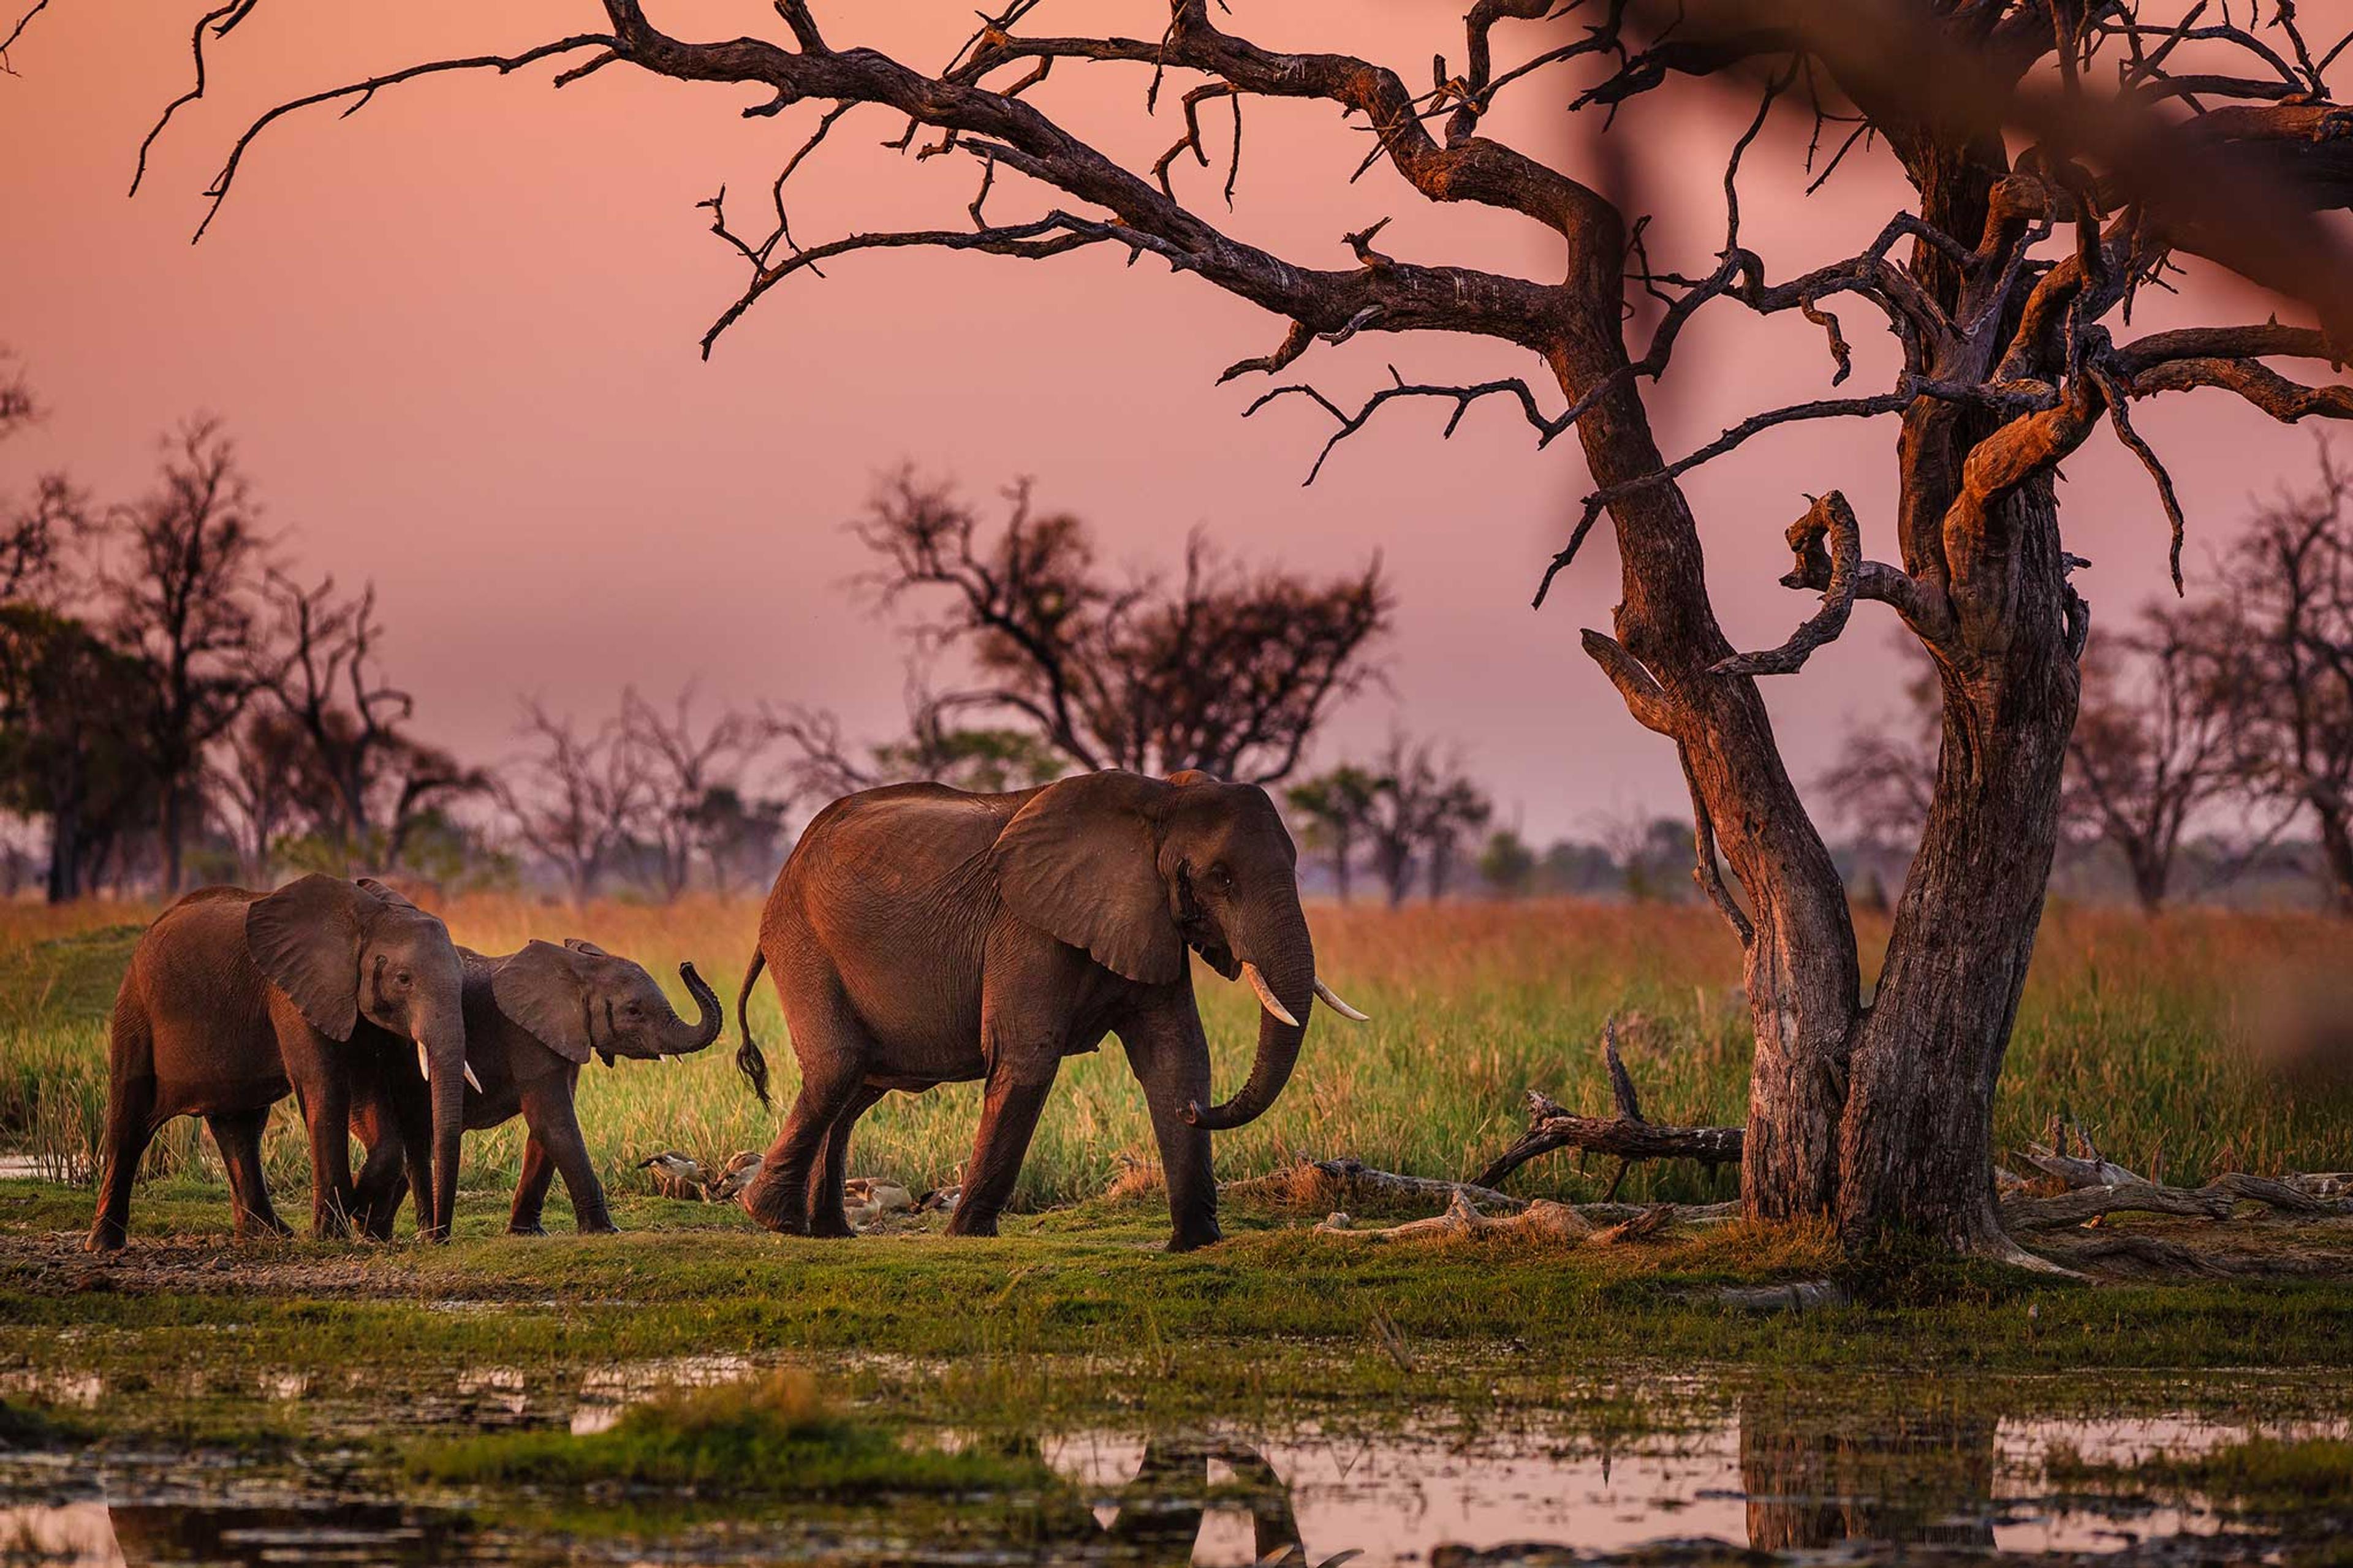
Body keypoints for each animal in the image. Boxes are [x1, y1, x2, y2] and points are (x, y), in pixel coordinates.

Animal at [86, 875, 472, 1252]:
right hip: (135, 1010)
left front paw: (358, 1212)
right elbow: (325, 1087)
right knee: (130, 1122)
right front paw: (335, 1230)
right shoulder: (293, 995)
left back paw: (268, 1235)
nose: (438, 1239)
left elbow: (371, 1097)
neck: (367, 919)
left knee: (240, 1129)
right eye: (404, 979)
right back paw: (105, 1244)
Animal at [360, 938, 723, 1235]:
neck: (578, 969)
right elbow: (554, 1122)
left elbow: (545, 1130)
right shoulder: (524, 1035)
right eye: (634, 1011)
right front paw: (606, 1231)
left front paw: (527, 1233)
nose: (686, 966)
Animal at [731, 768, 1367, 1251]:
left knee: (857, 1088)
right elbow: (1027, 1060)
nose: (1196, 1112)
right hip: (805, 944)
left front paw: (1195, 1242)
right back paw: (773, 1218)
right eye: (1222, 879)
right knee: (838, 1070)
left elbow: (1176, 1054)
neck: (1160, 799)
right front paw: (968, 1236)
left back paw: (828, 1233)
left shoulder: (1148, 918)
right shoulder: (1026, 927)